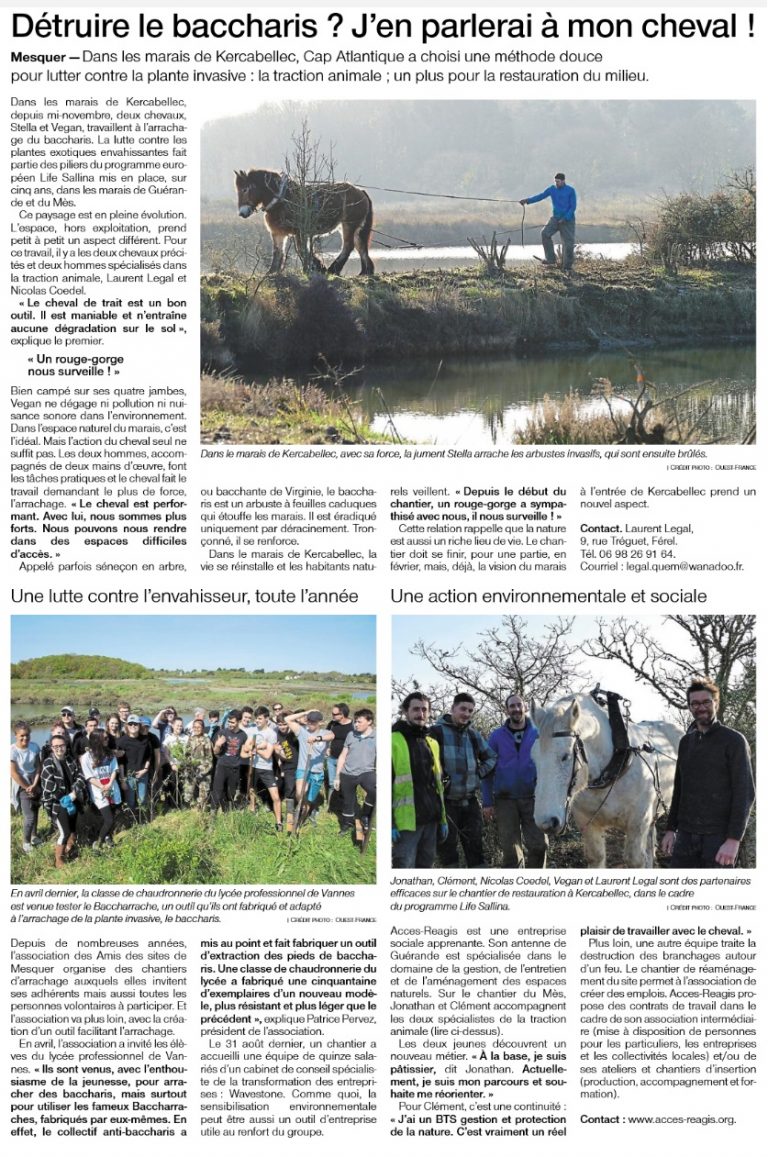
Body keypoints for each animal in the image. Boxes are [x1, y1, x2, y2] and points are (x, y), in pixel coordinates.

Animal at [235, 168, 377, 276]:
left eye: (245, 189)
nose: (242, 213)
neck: (282, 199)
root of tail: (360, 192)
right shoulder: (277, 233)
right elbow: (278, 252)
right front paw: (272, 272)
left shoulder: (299, 232)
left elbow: (302, 250)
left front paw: (318, 268)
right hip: (355, 227)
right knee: (361, 246)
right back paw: (365, 272)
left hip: (349, 224)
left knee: (348, 246)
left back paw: (333, 269)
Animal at [532, 684, 680, 870]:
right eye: (533, 758)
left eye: (565, 756)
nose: (546, 823)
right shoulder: (588, 823)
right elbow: (596, 857)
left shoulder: (637, 822)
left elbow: (636, 860)